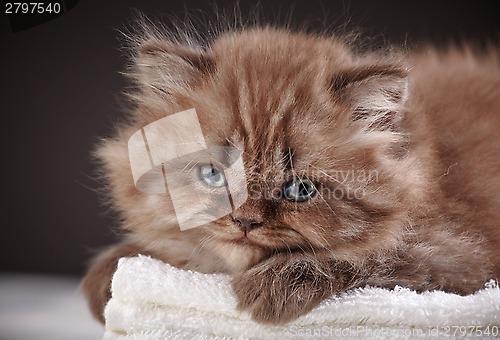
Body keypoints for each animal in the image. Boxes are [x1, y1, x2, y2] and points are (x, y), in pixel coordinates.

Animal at [82, 17, 500, 324]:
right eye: (212, 175)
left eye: (300, 189)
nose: (244, 222)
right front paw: (107, 274)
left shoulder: (458, 255)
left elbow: (369, 255)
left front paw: (265, 290)